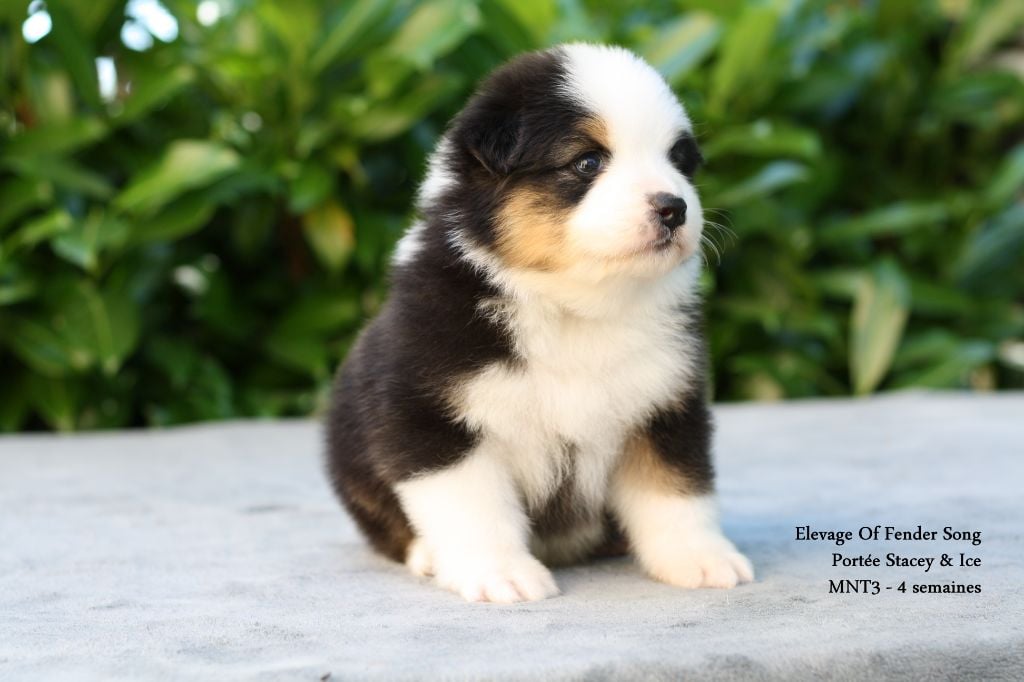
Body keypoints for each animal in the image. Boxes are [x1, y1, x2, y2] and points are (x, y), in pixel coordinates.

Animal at [325, 43, 753, 603]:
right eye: (588, 161)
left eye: (677, 161)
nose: (674, 208)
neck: (574, 307)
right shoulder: (428, 413)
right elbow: (474, 506)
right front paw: (500, 574)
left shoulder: (666, 404)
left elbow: (677, 490)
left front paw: (702, 560)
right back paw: (427, 556)